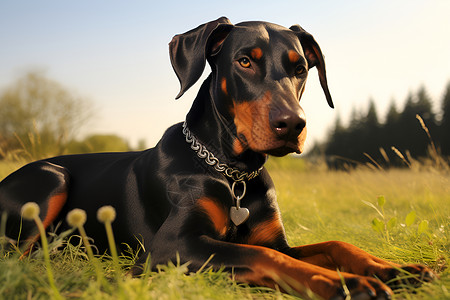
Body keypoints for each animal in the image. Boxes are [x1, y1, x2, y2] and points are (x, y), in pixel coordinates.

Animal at [0, 17, 436, 298]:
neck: (233, 173)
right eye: (244, 60)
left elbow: (336, 245)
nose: (292, 125)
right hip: (51, 177)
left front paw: (395, 270)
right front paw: (345, 284)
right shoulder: (173, 247)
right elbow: (260, 255)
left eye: (300, 68)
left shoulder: (278, 240)